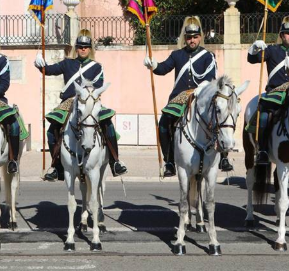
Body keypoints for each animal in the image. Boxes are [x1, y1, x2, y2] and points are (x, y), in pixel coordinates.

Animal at [60, 78, 109, 253]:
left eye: (99, 111)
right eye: (80, 111)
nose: (88, 145)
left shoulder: (94, 172)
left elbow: (94, 202)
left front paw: (95, 241)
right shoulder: (69, 173)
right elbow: (71, 203)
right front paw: (69, 240)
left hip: (102, 171)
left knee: (100, 191)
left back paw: (100, 223)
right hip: (81, 176)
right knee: (84, 190)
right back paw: (82, 222)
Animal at [172, 75, 249, 256]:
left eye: (238, 112)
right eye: (218, 109)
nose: (228, 144)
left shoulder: (211, 172)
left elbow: (210, 204)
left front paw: (213, 242)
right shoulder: (183, 171)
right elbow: (183, 204)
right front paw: (179, 241)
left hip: (199, 174)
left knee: (197, 194)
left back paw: (199, 223)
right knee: (188, 196)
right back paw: (187, 223)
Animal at [244, 93, 288, 253]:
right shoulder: (284, 164)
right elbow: (284, 201)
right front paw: (280, 241)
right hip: (249, 152)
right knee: (250, 181)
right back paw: (250, 217)